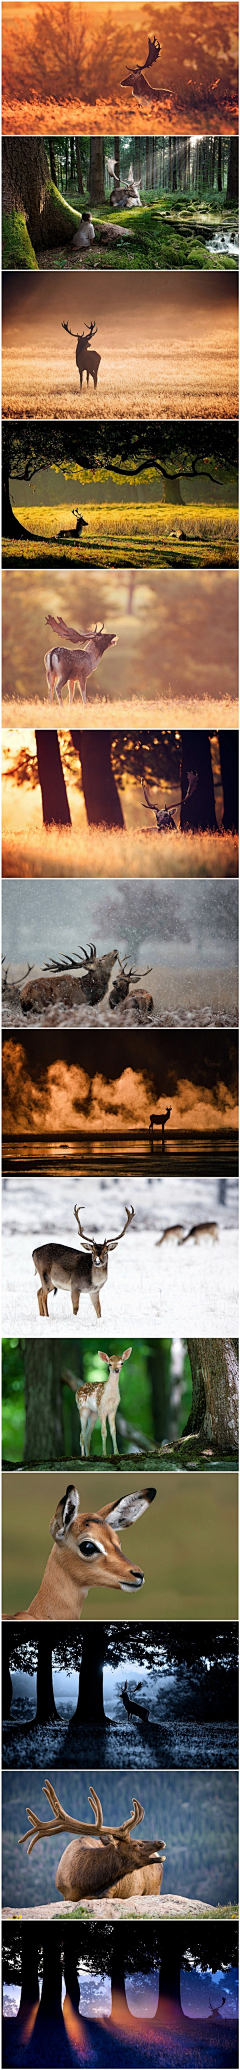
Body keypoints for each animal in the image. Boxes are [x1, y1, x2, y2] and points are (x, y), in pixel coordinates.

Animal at [19, 1780, 165, 1904]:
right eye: (137, 1845)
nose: (161, 1842)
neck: (86, 1883)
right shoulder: (67, 1895)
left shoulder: (110, 1892)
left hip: (154, 1890)